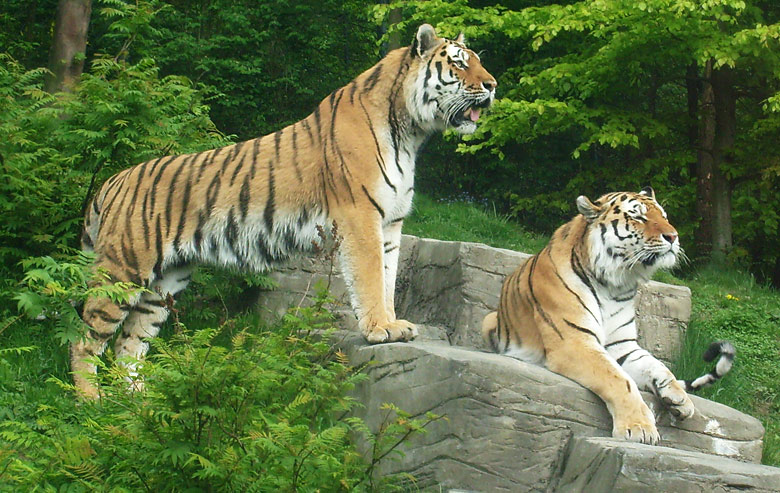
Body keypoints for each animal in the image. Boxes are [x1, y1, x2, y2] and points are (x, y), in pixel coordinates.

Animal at [74, 25, 500, 398]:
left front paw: (393, 322)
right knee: (85, 338)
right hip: (124, 270)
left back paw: (137, 403)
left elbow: (388, 278)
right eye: (460, 63)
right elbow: (369, 278)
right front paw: (380, 328)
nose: (493, 86)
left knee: (128, 343)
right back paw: (90, 400)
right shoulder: (361, 216)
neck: (410, 133)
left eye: (479, 62)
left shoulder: (391, 224)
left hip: (164, 284)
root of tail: (113, 180)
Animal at [484, 187, 736, 442]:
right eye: (639, 217)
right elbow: (619, 379)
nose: (673, 237)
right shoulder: (574, 342)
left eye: (664, 216)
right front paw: (640, 428)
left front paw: (679, 399)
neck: (615, 284)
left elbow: (657, 366)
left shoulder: (623, 346)